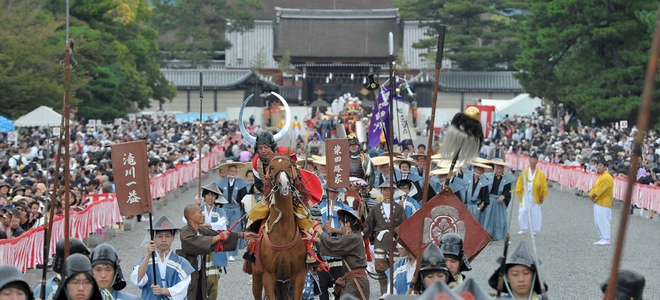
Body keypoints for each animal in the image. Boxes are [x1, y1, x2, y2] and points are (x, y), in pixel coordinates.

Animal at [251, 155, 308, 300]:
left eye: (289, 166)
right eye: (272, 167)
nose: (284, 184)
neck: (283, 234)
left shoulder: (299, 275)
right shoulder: (268, 275)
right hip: (256, 275)